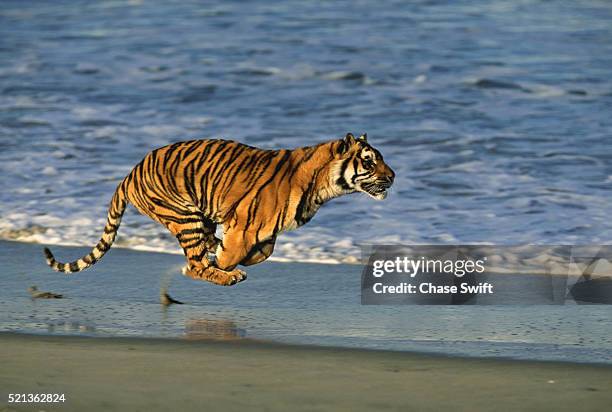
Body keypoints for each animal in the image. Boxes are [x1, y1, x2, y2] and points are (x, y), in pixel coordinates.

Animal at [44, 133, 396, 286]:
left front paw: (224, 251)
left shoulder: (262, 231)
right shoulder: (245, 223)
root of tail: (129, 173)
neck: (322, 186)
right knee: (194, 265)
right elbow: (232, 254)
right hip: (184, 215)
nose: (393, 176)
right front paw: (225, 262)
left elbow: (261, 253)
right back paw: (222, 274)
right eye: (369, 161)